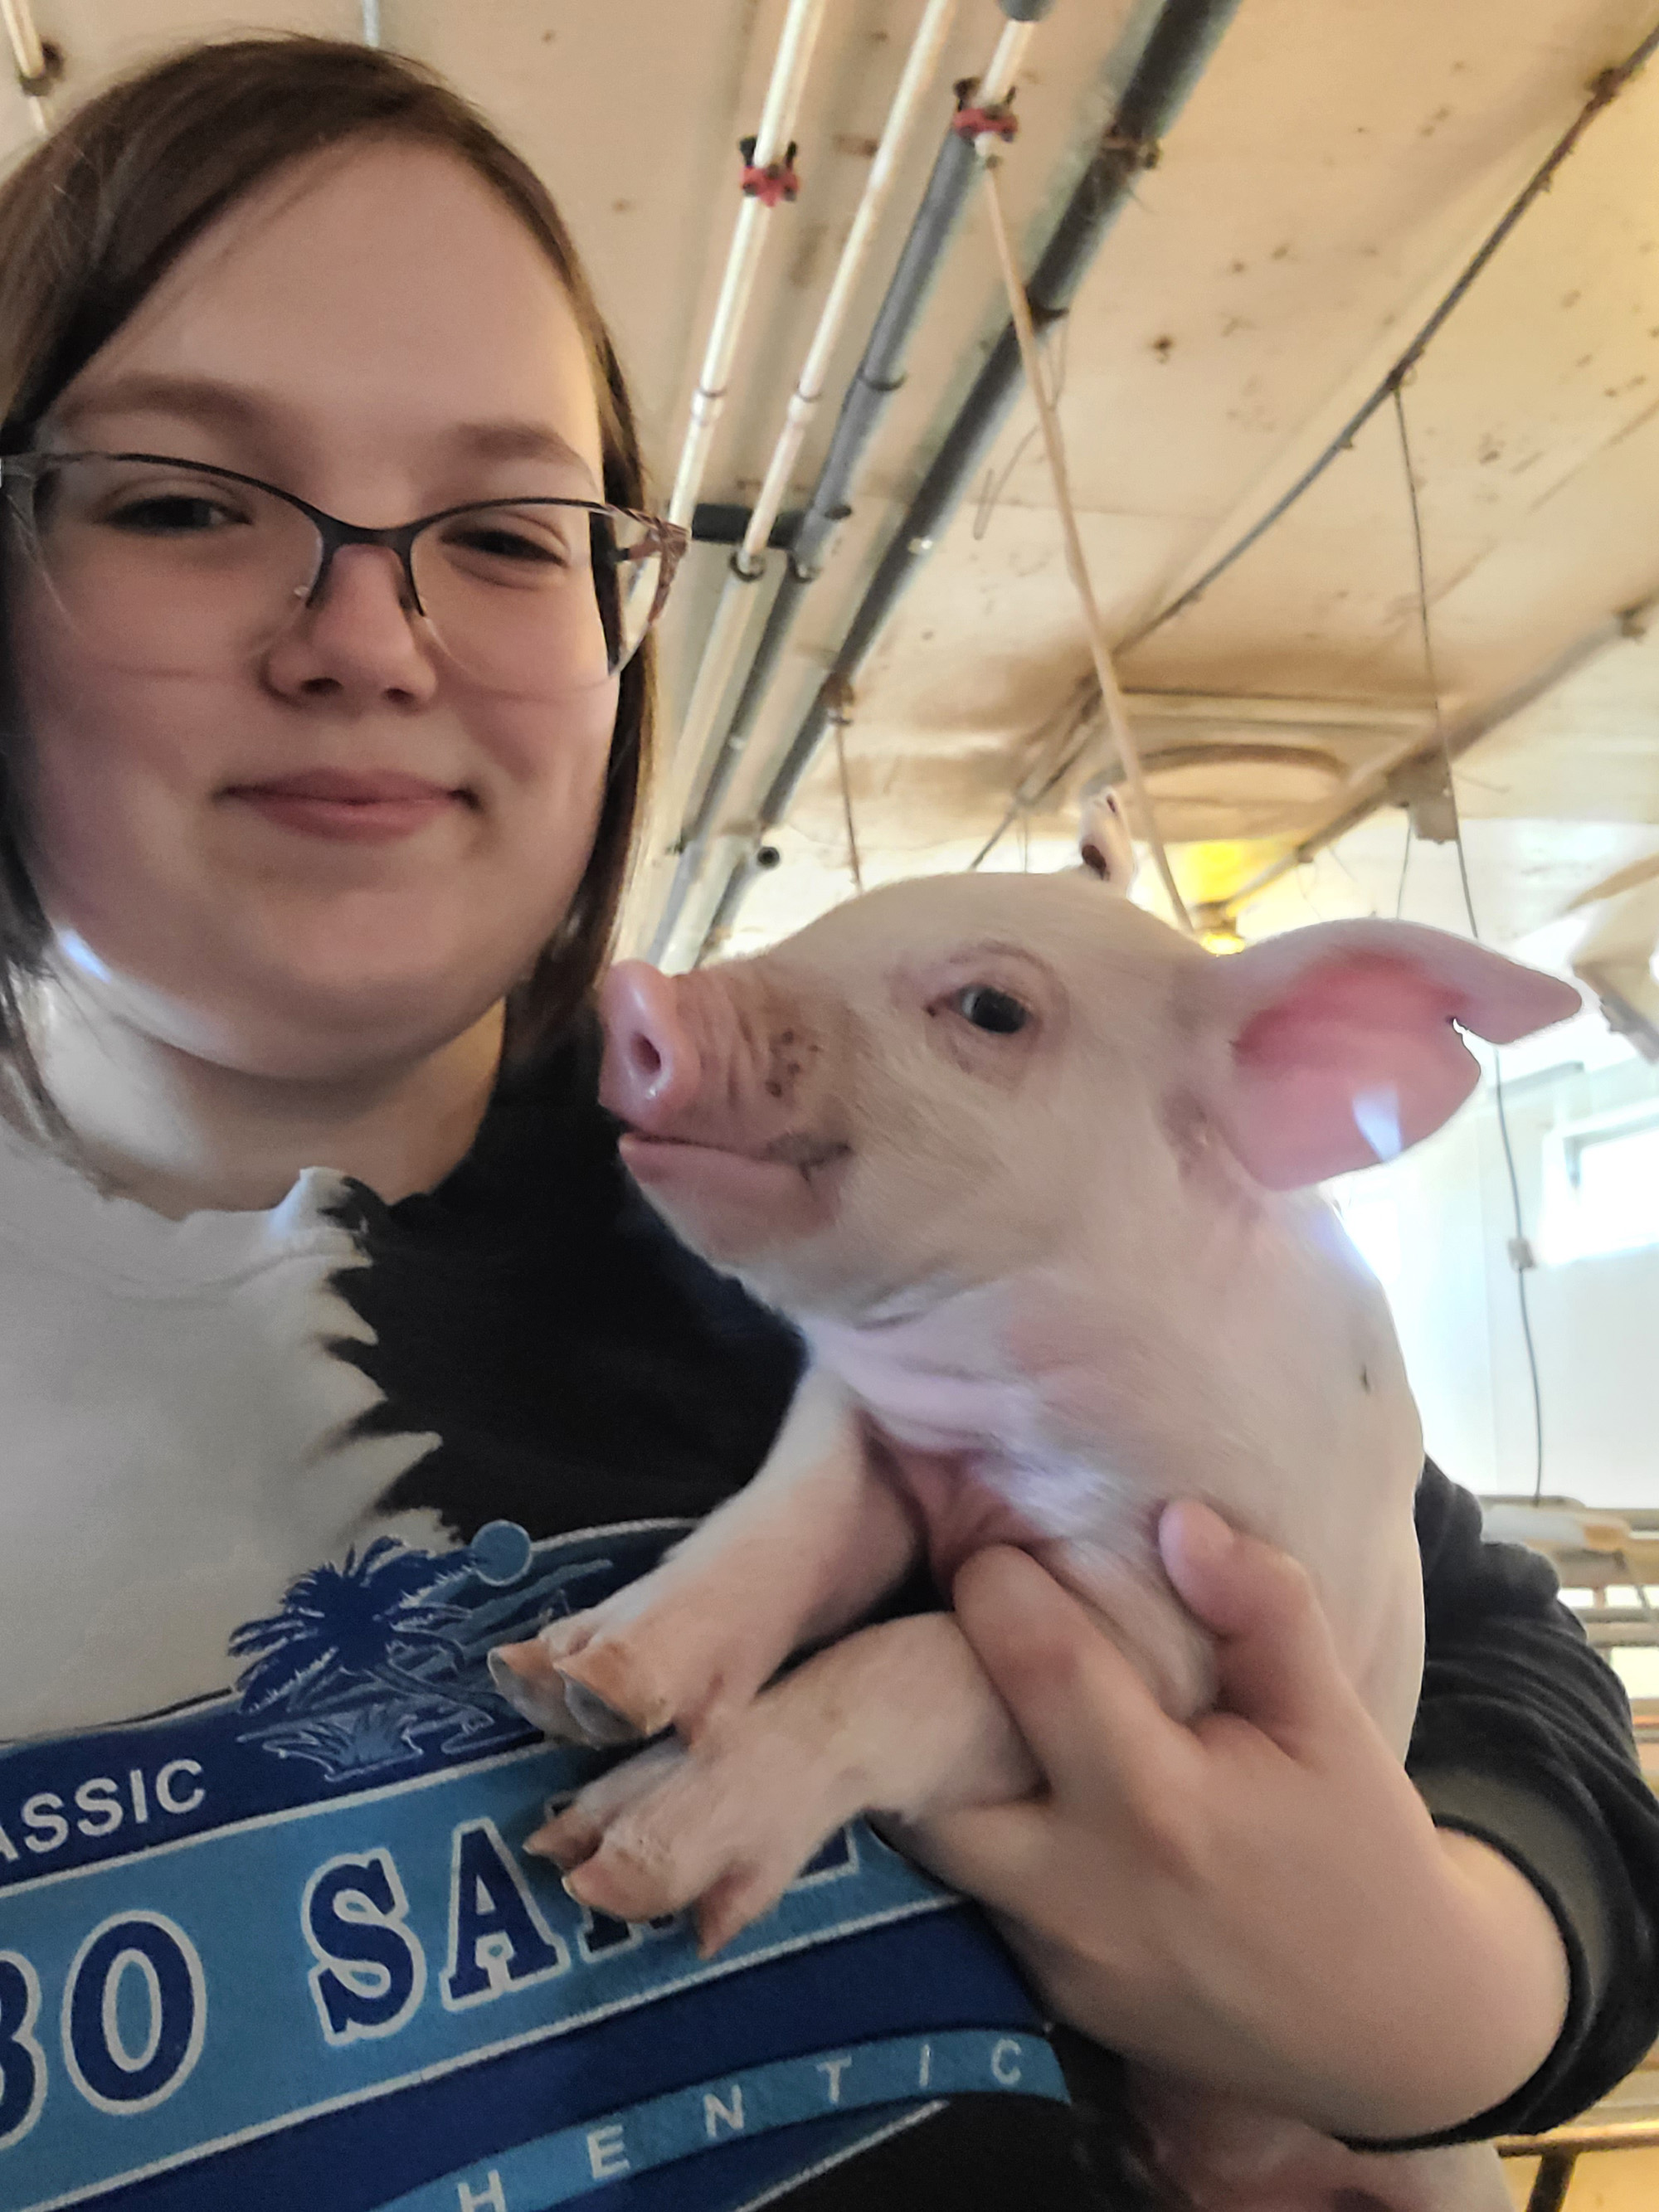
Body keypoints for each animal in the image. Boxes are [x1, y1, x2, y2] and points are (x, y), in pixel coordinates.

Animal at [490, 863, 1579, 2212]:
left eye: (992, 1009)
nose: (644, 992)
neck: (996, 1415)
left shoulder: (1171, 1633)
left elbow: (911, 1652)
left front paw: (612, 1859)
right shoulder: (865, 1434)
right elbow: (789, 1522)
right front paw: (562, 1686)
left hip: (1437, 2170)